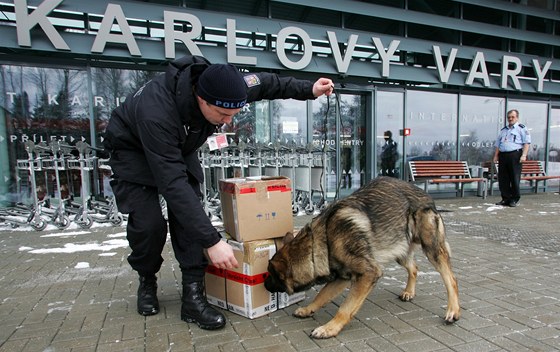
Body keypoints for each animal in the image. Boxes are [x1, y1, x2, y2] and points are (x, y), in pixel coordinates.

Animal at [262, 177, 460, 340]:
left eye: (271, 275)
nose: (264, 284)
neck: (323, 241)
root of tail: (428, 197)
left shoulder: (368, 274)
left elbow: (345, 308)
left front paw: (329, 328)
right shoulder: (342, 277)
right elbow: (321, 296)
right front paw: (307, 309)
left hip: (431, 249)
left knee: (451, 279)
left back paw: (453, 311)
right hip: (396, 249)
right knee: (414, 268)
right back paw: (409, 292)